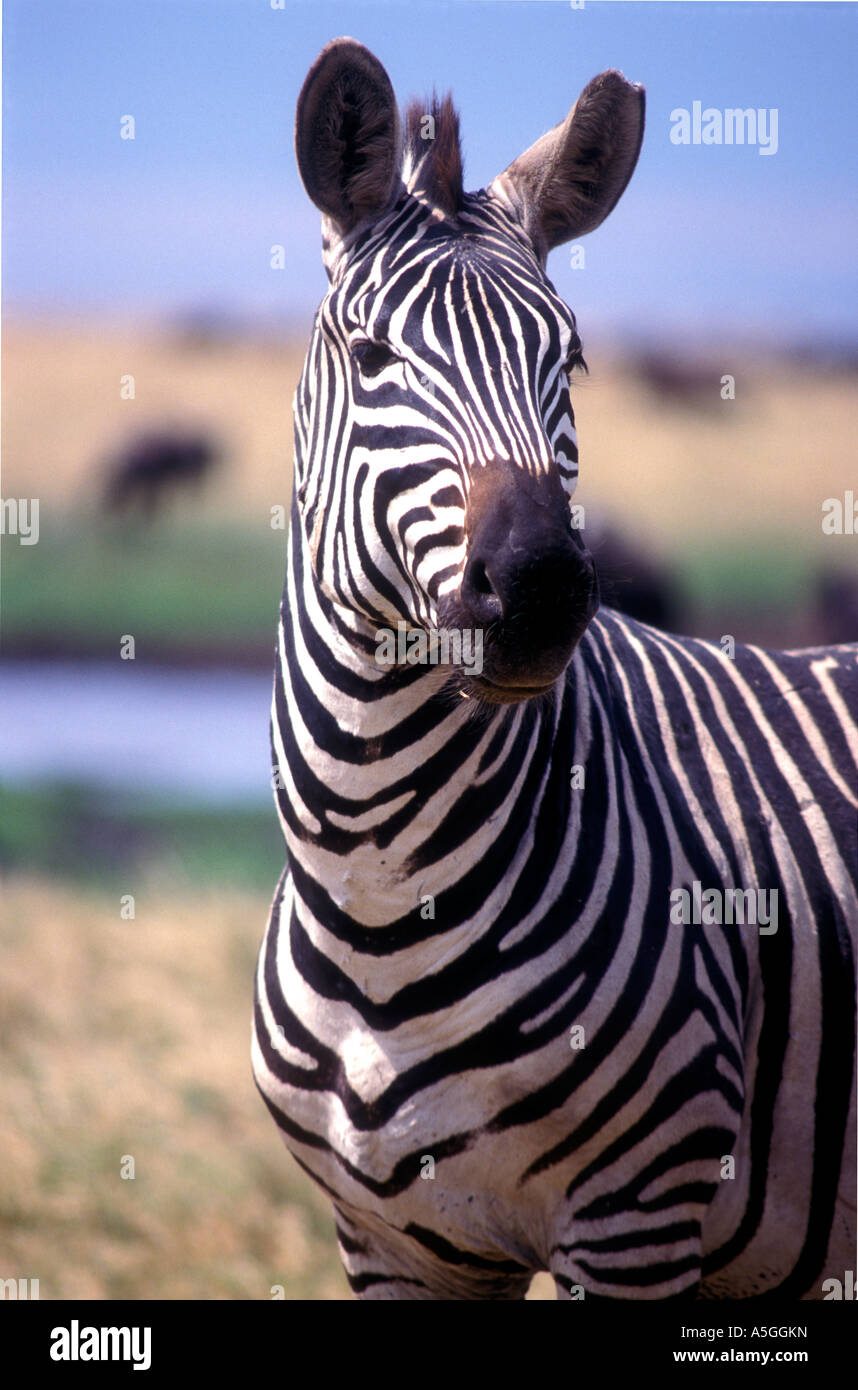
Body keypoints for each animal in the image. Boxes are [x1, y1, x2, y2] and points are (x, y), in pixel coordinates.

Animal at [252, 38, 857, 1301]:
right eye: (372, 355)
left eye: (569, 360)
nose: (537, 593)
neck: (377, 887)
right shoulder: (392, 1243)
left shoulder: (636, 1213)